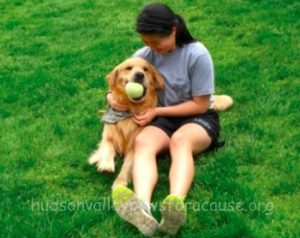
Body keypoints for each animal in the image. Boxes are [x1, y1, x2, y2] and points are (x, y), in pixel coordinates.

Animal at [88, 56, 233, 189]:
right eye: (128, 68)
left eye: (145, 69)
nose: (139, 75)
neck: (131, 109)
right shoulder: (107, 137)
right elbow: (107, 148)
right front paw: (105, 164)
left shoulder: (134, 146)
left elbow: (127, 165)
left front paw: (120, 181)